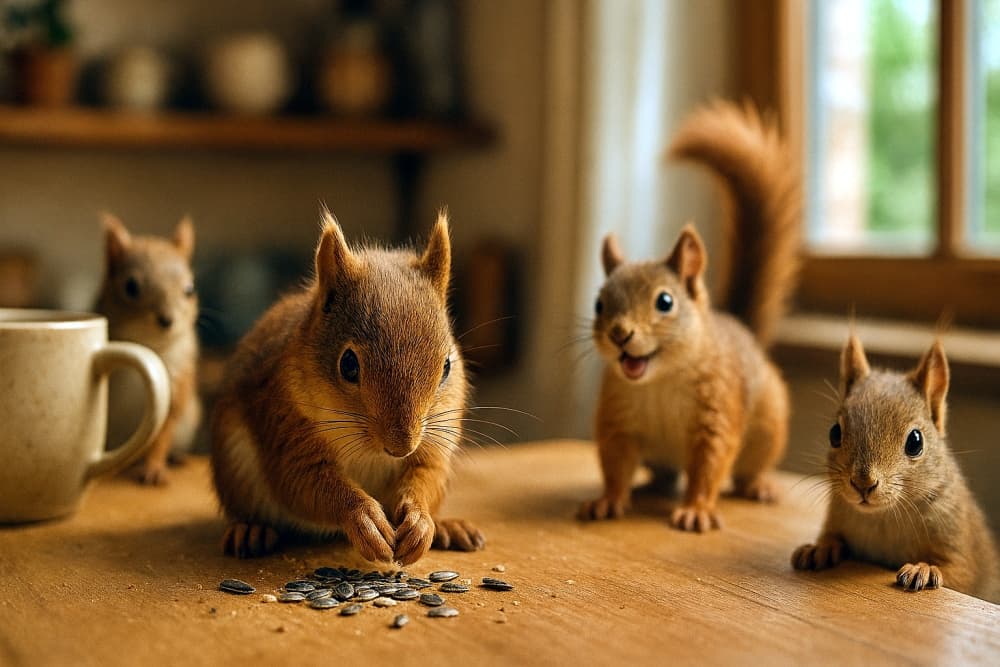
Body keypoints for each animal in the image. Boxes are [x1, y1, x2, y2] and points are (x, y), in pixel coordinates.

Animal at [97, 213, 202, 485]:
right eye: (130, 287)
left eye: (190, 289)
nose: (166, 320)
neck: (148, 344)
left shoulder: (178, 381)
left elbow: (163, 432)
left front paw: (153, 467)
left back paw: (176, 458)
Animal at [209, 209, 485, 565]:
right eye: (348, 365)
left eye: (447, 367)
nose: (401, 447)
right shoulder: (285, 427)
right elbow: (305, 482)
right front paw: (363, 517)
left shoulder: (434, 442)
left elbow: (427, 475)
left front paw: (420, 521)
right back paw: (251, 530)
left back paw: (448, 527)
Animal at [578, 101, 801, 532]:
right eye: (599, 304)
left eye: (665, 302)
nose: (619, 333)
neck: (660, 380)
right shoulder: (618, 420)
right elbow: (615, 463)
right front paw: (608, 500)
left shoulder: (716, 413)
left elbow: (709, 465)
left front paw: (697, 510)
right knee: (662, 475)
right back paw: (646, 487)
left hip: (767, 427)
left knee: (745, 471)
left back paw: (759, 485)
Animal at [792, 336, 1000, 603]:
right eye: (834, 433)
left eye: (915, 442)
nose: (863, 484)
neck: (883, 516)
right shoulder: (836, 515)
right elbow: (832, 537)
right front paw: (820, 548)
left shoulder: (959, 543)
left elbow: (959, 572)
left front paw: (925, 569)